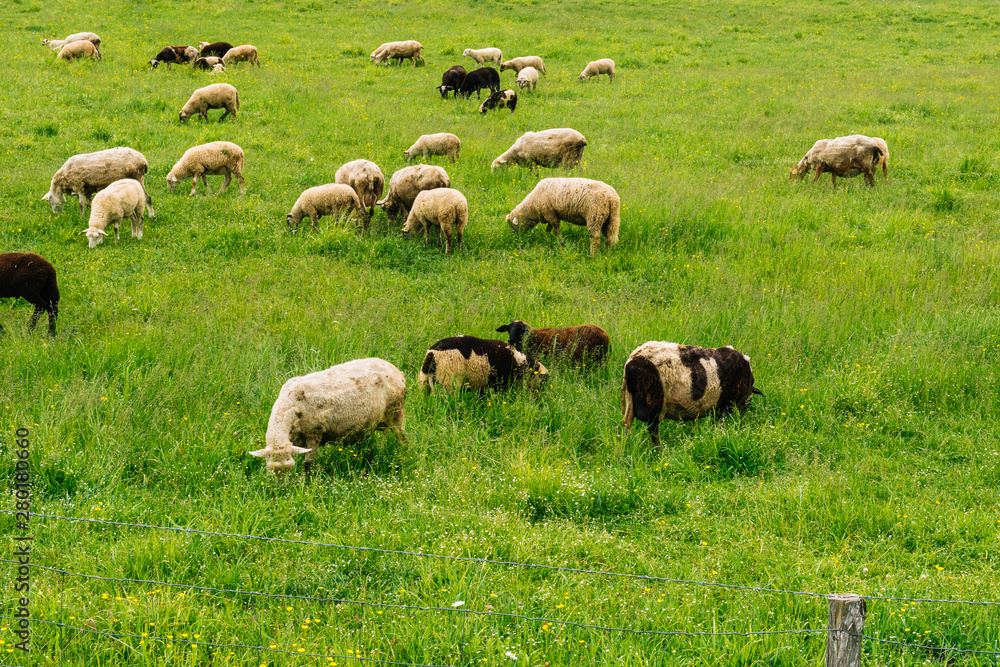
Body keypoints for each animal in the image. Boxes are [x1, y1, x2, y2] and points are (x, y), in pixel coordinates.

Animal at [249, 358, 407, 475]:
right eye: (271, 471)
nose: (282, 488)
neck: (291, 403)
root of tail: (396, 370)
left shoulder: (314, 434)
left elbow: (307, 465)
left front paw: (306, 485)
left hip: (395, 411)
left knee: (402, 438)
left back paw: (402, 456)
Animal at [622, 342, 763, 447]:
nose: (742, 418)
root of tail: (633, 363)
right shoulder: (725, 406)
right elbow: (719, 425)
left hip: (630, 400)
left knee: (626, 425)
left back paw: (626, 447)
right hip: (656, 401)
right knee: (653, 429)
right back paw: (659, 451)